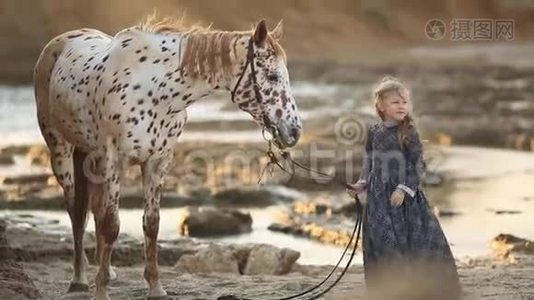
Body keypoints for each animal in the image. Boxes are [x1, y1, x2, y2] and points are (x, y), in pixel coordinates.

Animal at [32, 17, 302, 300]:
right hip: (61, 153)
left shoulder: (157, 163)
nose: (294, 131)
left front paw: (155, 288)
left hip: (91, 159)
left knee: (92, 210)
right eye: (272, 76)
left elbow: (151, 225)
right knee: (76, 211)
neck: (154, 90)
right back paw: (80, 279)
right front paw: (102, 291)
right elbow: (112, 225)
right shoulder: (114, 163)